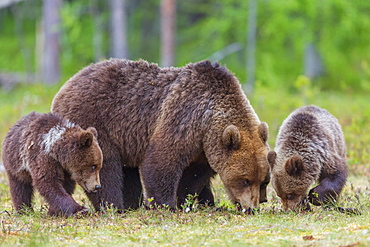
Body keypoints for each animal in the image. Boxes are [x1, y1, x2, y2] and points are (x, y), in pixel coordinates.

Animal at [50, 58, 270, 211]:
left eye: (263, 180)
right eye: (245, 180)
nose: (252, 208)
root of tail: (64, 87)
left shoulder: (204, 148)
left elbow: (194, 175)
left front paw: (186, 200)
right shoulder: (184, 118)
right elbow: (161, 161)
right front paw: (166, 204)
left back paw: (131, 204)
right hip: (96, 122)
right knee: (105, 168)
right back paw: (114, 206)